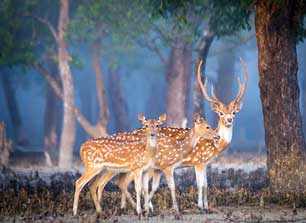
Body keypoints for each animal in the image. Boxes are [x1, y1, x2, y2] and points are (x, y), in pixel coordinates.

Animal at [96, 57, 249, 213]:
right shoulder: (198, 161)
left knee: (123, 183)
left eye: (234, 112)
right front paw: (200, 207)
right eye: (221, 113)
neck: (214, 147)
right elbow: (200, 184)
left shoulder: (206, 163)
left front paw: (206, 206)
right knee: (118, 183)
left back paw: (131, 208)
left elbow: (206, 185)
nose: (229, 120)